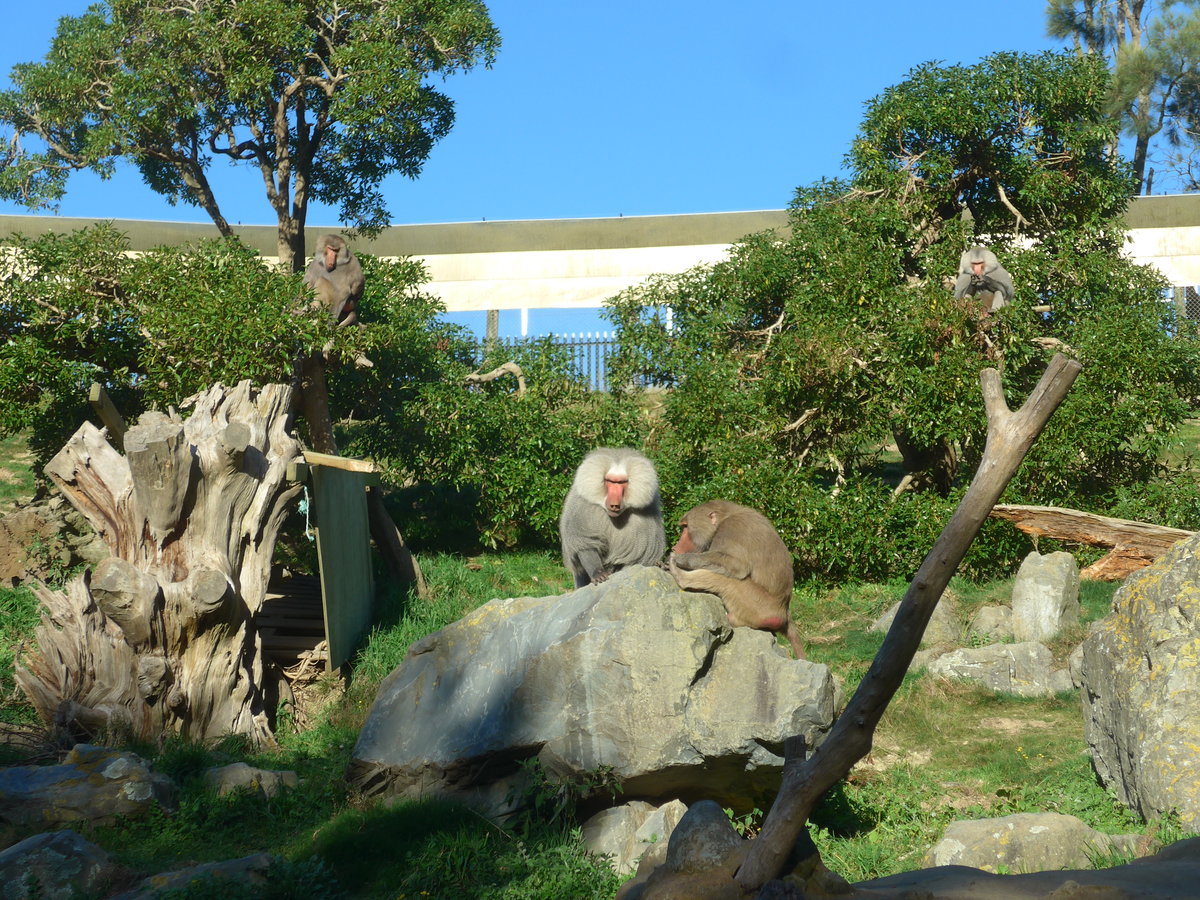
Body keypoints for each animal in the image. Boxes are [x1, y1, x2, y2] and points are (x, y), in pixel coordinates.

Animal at [559, 448, 666, 588]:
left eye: (621, 482)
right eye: (610, 481)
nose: (614, 504)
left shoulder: (645, 517)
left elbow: (635, 560)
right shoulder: (583, 510)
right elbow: (586, 545)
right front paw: (598, 573)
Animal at [668, 500, 805, 659]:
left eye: (685, 527)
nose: (675, 546)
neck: (726, 516)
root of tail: (784, 610)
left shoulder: (729, 529)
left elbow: (738, 566)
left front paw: (683, 560)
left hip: (759, 607)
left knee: (729, 581)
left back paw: (680, 576)